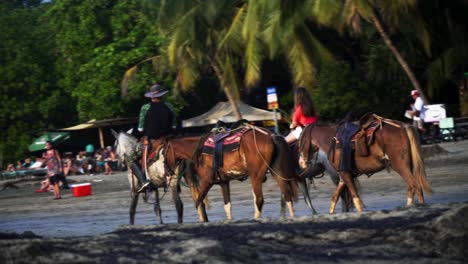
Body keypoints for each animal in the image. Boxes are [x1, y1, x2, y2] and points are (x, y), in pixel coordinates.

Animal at [154, 125, 314, 220]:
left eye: (162, 153)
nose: (167, 173)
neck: (200, 150)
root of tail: (271, 135)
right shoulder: (224, 182)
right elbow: (227, 206)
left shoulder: (207, 182)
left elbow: (199, 203)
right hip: (276, 172)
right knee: (287, 196)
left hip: (256, 176)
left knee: (259, 200)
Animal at [298, 114, 434, 213]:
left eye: (300, 139)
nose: (301, 162)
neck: (331, 140)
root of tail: (404, 126)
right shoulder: (343, 176)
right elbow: (335, 198)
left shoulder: (345, 173)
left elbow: (355, 198)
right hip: (406, 166)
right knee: (412, 188)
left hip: (400, 166)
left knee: (416, 186)